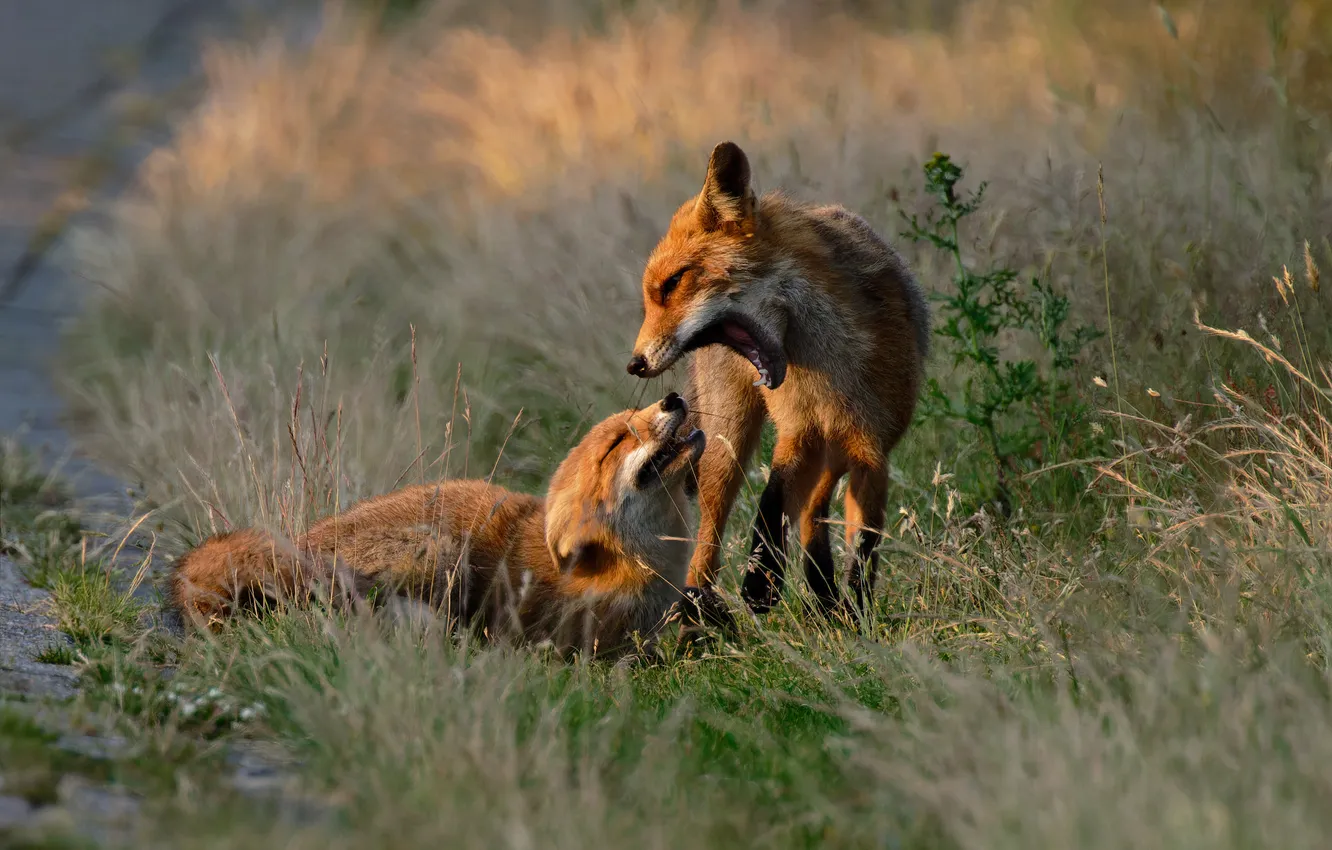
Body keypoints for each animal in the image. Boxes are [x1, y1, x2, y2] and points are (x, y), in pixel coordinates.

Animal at [626, 141, 930, 618]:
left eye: (672, 284)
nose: (635, 364)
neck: (827, 377)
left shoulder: (870, 447)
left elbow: (862, 542)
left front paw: (856, 608)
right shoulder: (797, 432)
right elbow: (772, 498)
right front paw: (761, 580)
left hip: (835, 450)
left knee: (813, 511)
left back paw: (824, 597)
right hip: (728, 445)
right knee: (709, 539)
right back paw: (698, 614)